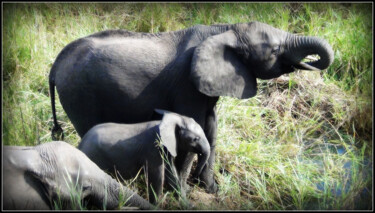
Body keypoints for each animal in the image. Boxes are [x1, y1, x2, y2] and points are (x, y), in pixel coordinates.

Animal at [50, 21, 334, 193]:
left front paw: (212, 190)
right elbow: (191, 128)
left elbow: (211, 128)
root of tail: (56, 65)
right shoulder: (186, 85)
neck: (226, 30)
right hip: (79, 94)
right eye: (274, 50)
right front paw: (181, 191)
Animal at [78, 110, 212, 205]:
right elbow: (157, 176)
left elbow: (171, 173)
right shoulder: (153, 148)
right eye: (195, 139)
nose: (195, 180)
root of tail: (80, 145)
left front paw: (188, 205)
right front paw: (156, 206)